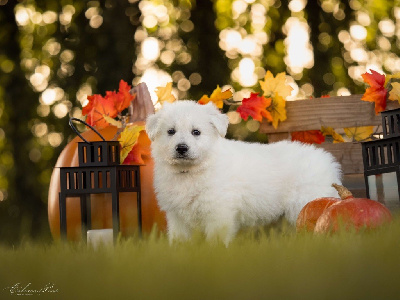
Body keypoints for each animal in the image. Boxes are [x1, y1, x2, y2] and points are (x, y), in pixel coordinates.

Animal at [146, 101, 340, 246]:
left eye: (196, 132)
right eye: (171, 131)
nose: (181, 148)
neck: (190, 171)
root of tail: (327, 161)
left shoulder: (218, 211)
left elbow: (216, 238)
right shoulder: (177, 216)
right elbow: (179, 239)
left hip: (305, 202)